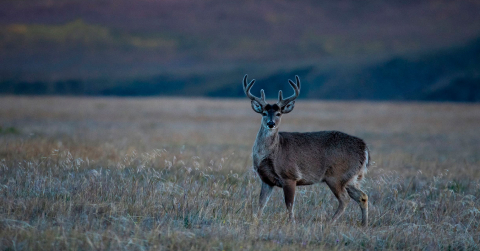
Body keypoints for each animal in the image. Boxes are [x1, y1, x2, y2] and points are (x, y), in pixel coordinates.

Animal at [244, 75, 372, 227]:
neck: (273, 152)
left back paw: (330, 222)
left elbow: (289, 204)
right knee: (362, 196)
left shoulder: (290, 176)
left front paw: (291, 223)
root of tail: (364, 148)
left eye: (278, 113)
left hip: (337, 176)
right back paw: (364, 224)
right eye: (264, 113)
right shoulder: (266, 179)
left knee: (344, 199)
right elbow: (261, 203)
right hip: (350, 178)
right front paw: (255, 221)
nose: (271, 123)